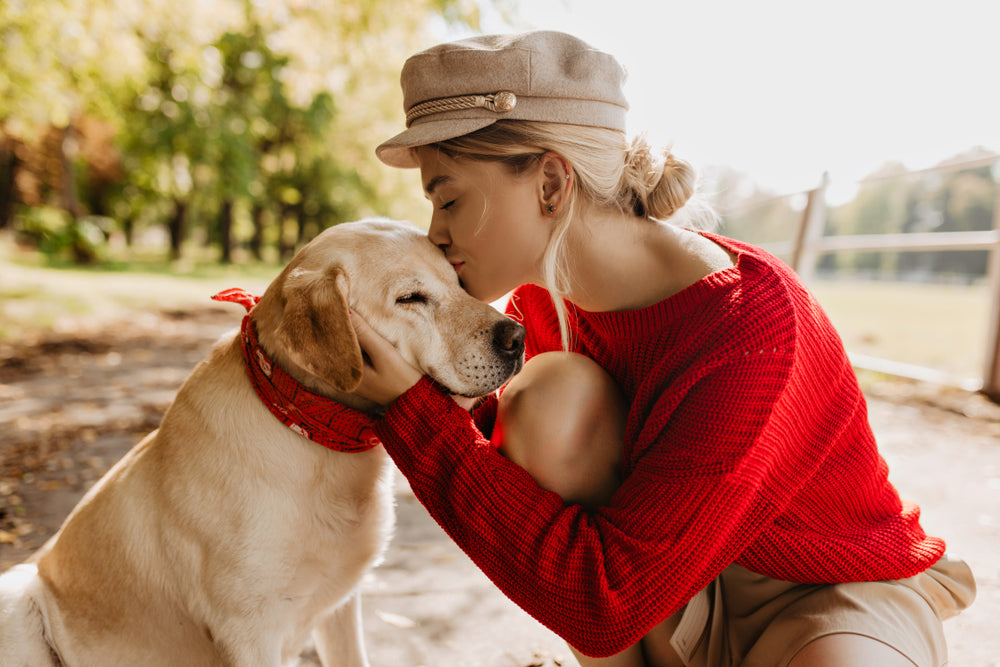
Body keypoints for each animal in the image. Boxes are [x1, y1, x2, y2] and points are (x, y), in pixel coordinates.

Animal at [0, 220, 528, 667]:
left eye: (459, 282)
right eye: (411, 297)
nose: (518, 336)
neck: (312, 431)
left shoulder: (341, 606)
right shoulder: (248, 632)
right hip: (19, 593)